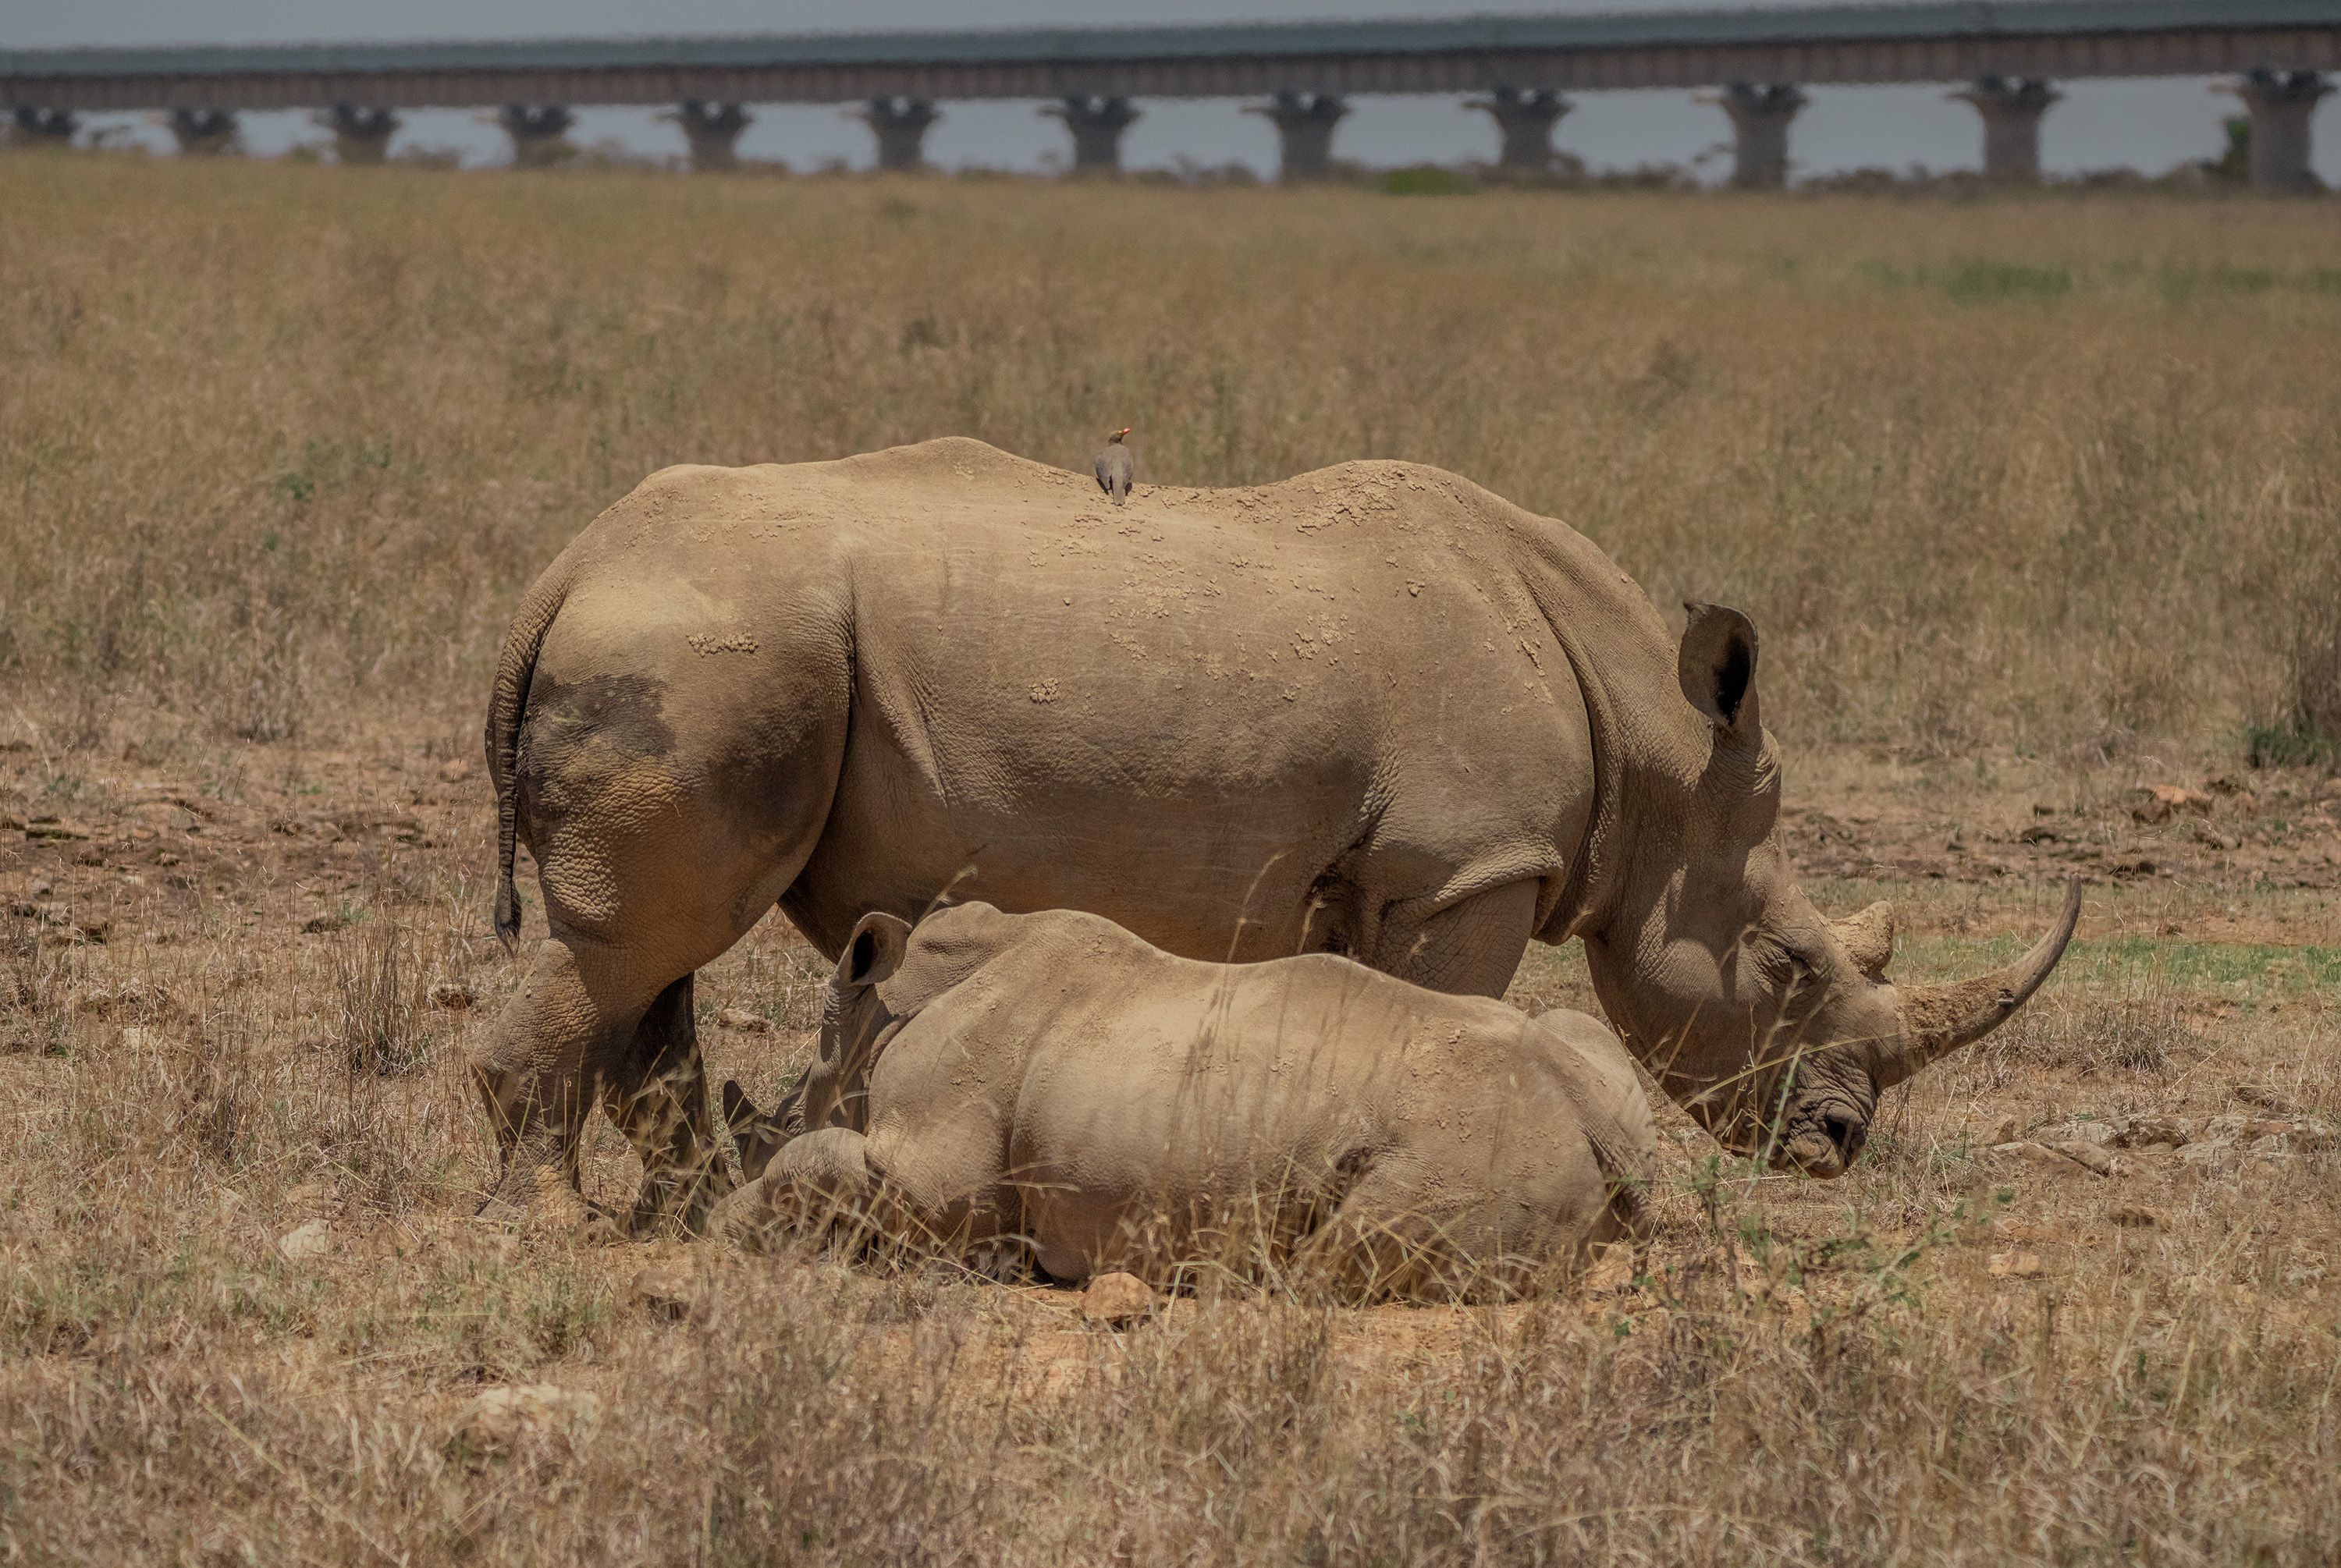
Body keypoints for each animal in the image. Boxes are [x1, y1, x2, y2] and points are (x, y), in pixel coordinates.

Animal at [474, 438, 2077, 1228]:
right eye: (1792, 964)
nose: (1838, 1143)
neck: (1660, 750)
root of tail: (561, 571)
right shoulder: (1468, 868)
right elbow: (1450, 1007)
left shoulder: (1381, 870)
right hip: (709, 646)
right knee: (636, 938)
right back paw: (557, 1223)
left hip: (718, 648)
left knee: (661, 949)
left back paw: (687, 1199)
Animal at [711, 902, 1654, 1297]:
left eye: (775, 1119)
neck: (883, 1018)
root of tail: (1585, 1115)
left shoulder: (938, 1184)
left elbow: (819, 1157)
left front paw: (729, 1227)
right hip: (1575, 1075)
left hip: (1476, 1136)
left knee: (1317, 1275)